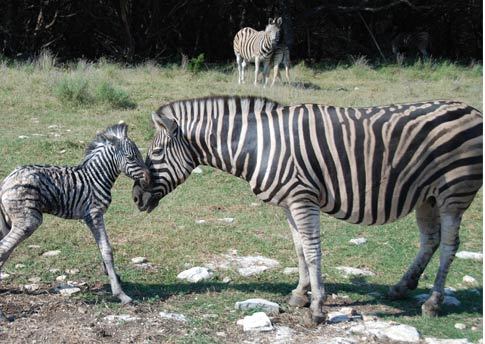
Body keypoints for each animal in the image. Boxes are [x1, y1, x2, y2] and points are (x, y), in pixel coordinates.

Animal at [0, 123, 149, 320]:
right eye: (131, 157)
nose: (149, 178)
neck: (97, 177)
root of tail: (7, 180)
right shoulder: (94, 214)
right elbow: (107, 250)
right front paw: (121, 294)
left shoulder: (91, 217)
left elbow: (103, 249)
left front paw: (114, 278)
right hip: (29, 221)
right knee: (4, 248)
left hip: (8, 221)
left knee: (5, 250)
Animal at [131, 95, 480, 324]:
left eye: (156, 153)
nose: (135, 198)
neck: (258, 146)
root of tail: (471, 109)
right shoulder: (290, 201)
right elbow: (299, 248)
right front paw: (300, 294)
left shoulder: (302, 198)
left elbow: (312, 251)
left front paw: (317, 309)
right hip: (427, 196)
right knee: (429, 240)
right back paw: (401, 287)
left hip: (453, 192)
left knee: (449, 245)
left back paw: (433, 303)